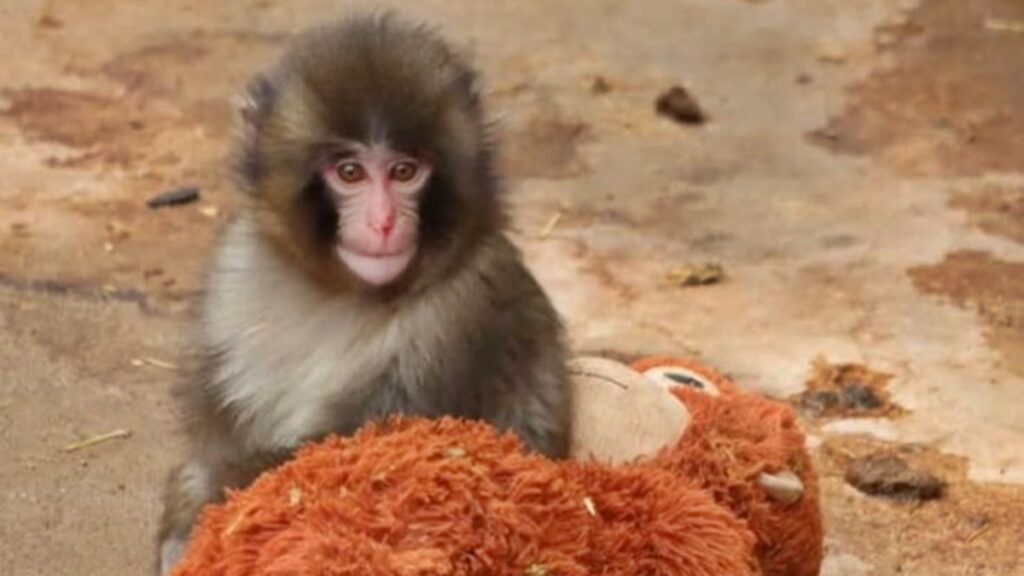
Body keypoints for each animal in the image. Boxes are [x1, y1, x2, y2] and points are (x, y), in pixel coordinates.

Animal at [156, 12, 571, 574]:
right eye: (349, 172)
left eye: (404, 171)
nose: (383, 222)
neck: (342, 291)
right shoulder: (235, 271)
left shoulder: (462, 314)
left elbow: (351, 464)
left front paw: (193, 497)